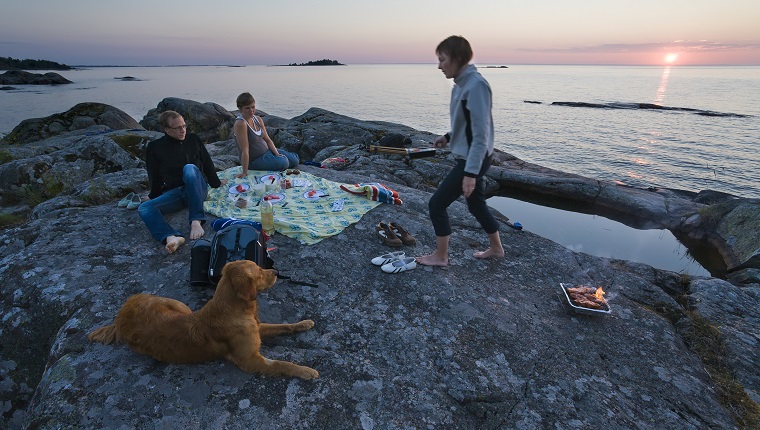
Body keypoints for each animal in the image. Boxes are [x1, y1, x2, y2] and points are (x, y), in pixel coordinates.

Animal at [88, 258, 318, 380]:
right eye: (260, 271)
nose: (277, 272)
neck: (234, 309)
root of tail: (121, 314)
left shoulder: (256, 327)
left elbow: (283, 325)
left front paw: (303, 323)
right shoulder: (250, 360)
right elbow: (282, 364)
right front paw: (305, 371)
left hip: (178, 305)